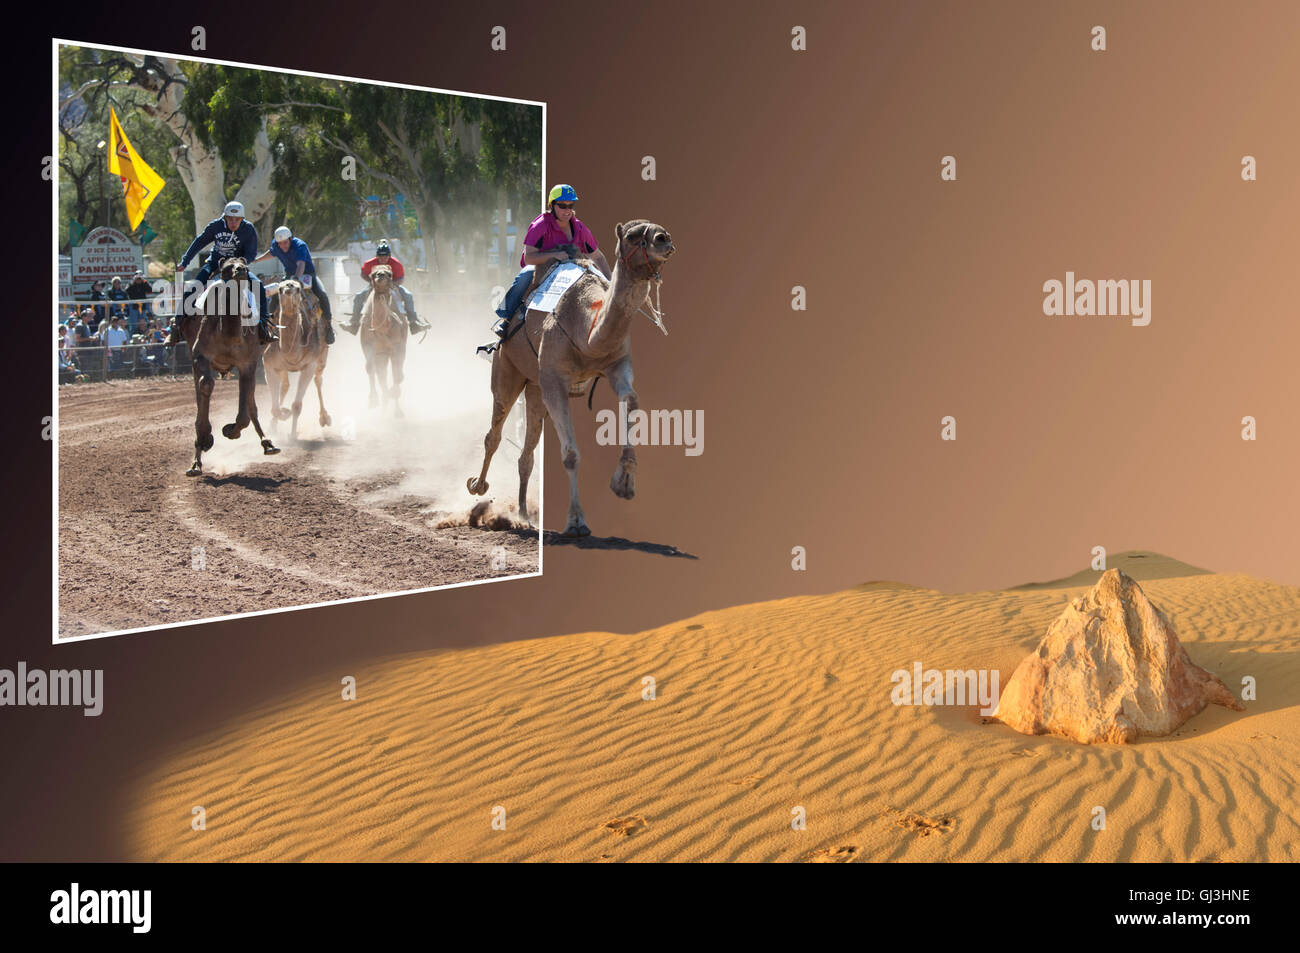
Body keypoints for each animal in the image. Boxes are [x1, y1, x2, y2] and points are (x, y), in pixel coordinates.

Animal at [179, 254, 278, 473]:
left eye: (244, 265)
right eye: (226, 268)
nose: (240, 271)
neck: (228, 331)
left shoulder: (248, 363)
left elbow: (245, 408)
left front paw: (230, 430)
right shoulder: (199, 355)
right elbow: (205, 385)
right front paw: (205, 437)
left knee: (251, 401)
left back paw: (268, 443)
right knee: (201, 392)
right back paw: (196, 461)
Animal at [263, 275, 332, 439]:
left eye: (298, 289)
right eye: (279, 288)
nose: (289, 287)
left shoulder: (309, 366)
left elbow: (296, 406)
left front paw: (293, 436)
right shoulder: (269, 365)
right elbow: (275, 408)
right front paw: (282, 414)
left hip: (322, 356)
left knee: (318, 380)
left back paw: (324, 418)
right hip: (282, 368)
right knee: (285, 386)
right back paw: (273, 425)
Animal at [358, 265, 408, 418]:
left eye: (390, 274)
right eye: (372, 274)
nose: (381, 275)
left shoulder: (398, 345)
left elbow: (398, 374)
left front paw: (393, 393)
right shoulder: (368, 345)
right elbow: (370, 368)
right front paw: (373, 400)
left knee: (393, 373)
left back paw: (396, 410)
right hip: (381, 355)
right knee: (381, 375)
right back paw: (384, 408)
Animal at [467, 221, 676, 535]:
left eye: (657, 231)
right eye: (631, 236)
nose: (664, 239)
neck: (586, 330)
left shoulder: (617, 365)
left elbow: (631, 399)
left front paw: (624, 483)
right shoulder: (554, 382)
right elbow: (570, 454)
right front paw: (577, 521)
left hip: (534, 388)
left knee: (527, 453)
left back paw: (524, 515)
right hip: (508, 372)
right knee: (494, 433)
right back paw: (478, 488)